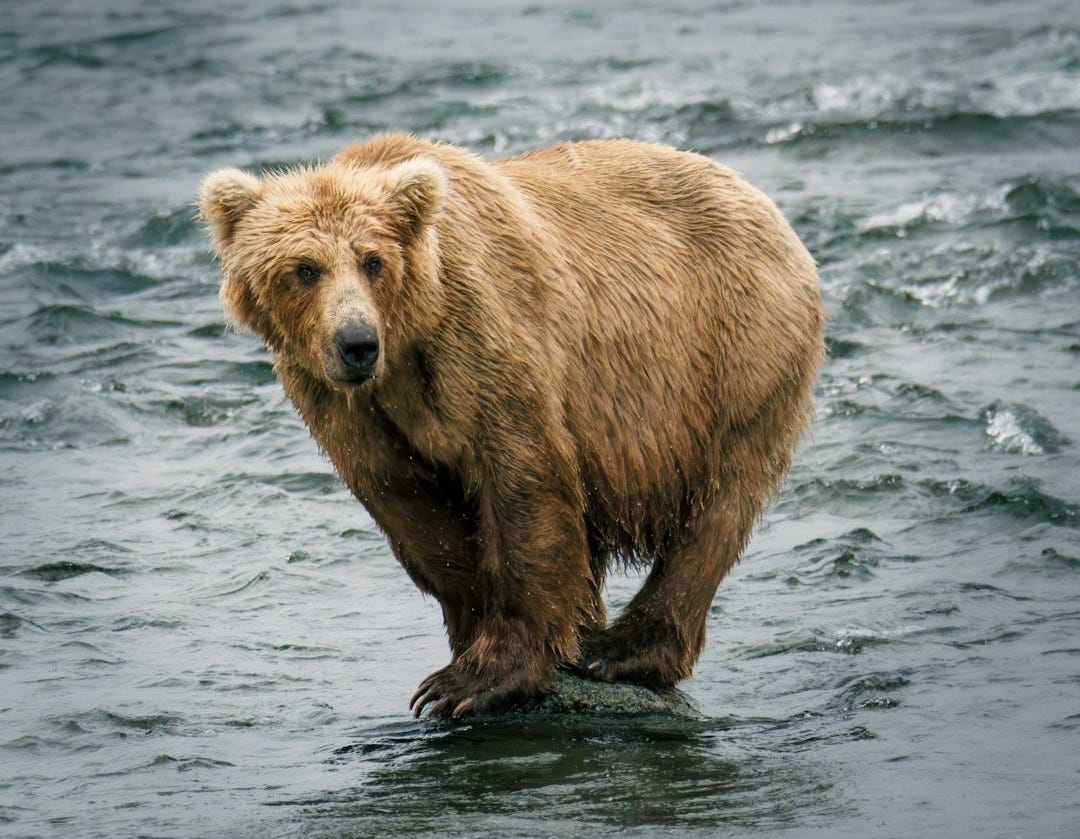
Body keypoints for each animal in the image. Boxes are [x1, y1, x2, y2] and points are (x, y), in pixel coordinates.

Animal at [198, 134, 824, 718]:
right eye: (304, 269)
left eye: (372, 260)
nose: (356, 342)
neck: (408, 341)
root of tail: (762, 201)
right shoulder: (346, 406)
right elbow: (414, 509)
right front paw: (467, 643)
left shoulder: (482, 341)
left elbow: (523, 480)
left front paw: (475, 680)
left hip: (734, 353)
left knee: (718, 506)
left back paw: (622, 649)